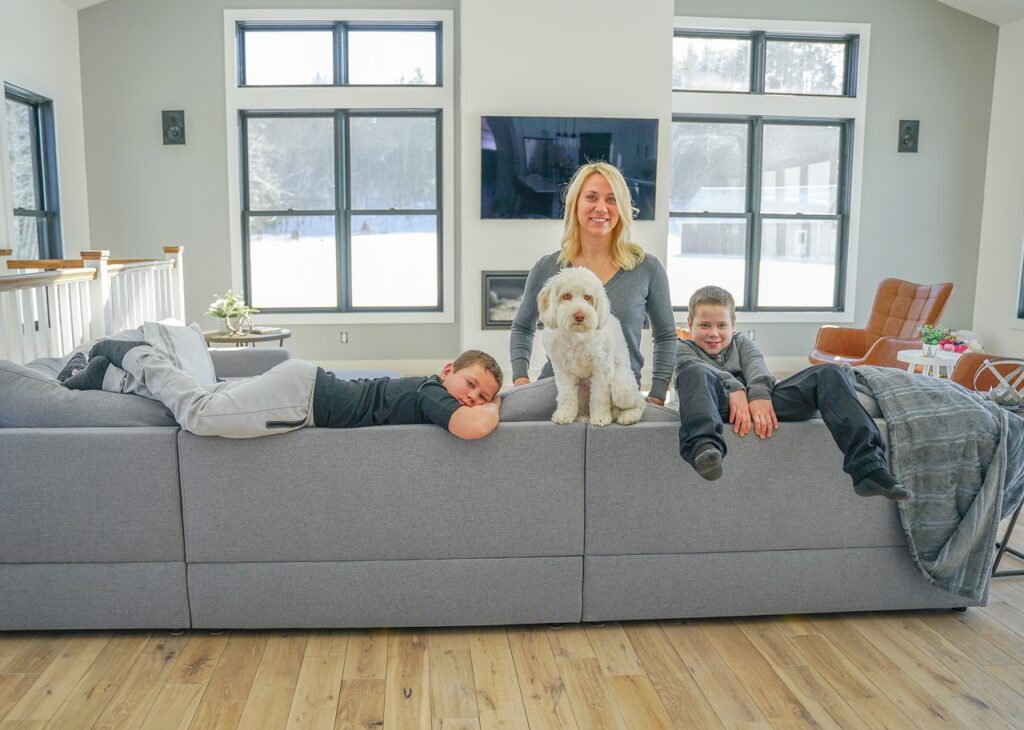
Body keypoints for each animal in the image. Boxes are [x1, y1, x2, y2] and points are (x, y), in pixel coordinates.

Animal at [540, 268, 643, 427]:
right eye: (567, 295)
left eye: (587, 297)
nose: (579, 316)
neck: (577, 335)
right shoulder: (563, 372)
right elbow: (566, 396)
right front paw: (564, 415)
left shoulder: (601, 371)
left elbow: (599, 398)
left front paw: (600, 418)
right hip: (582, 390)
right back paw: (583, 416)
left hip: (622, 388)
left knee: (639, 403)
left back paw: (628, 416)